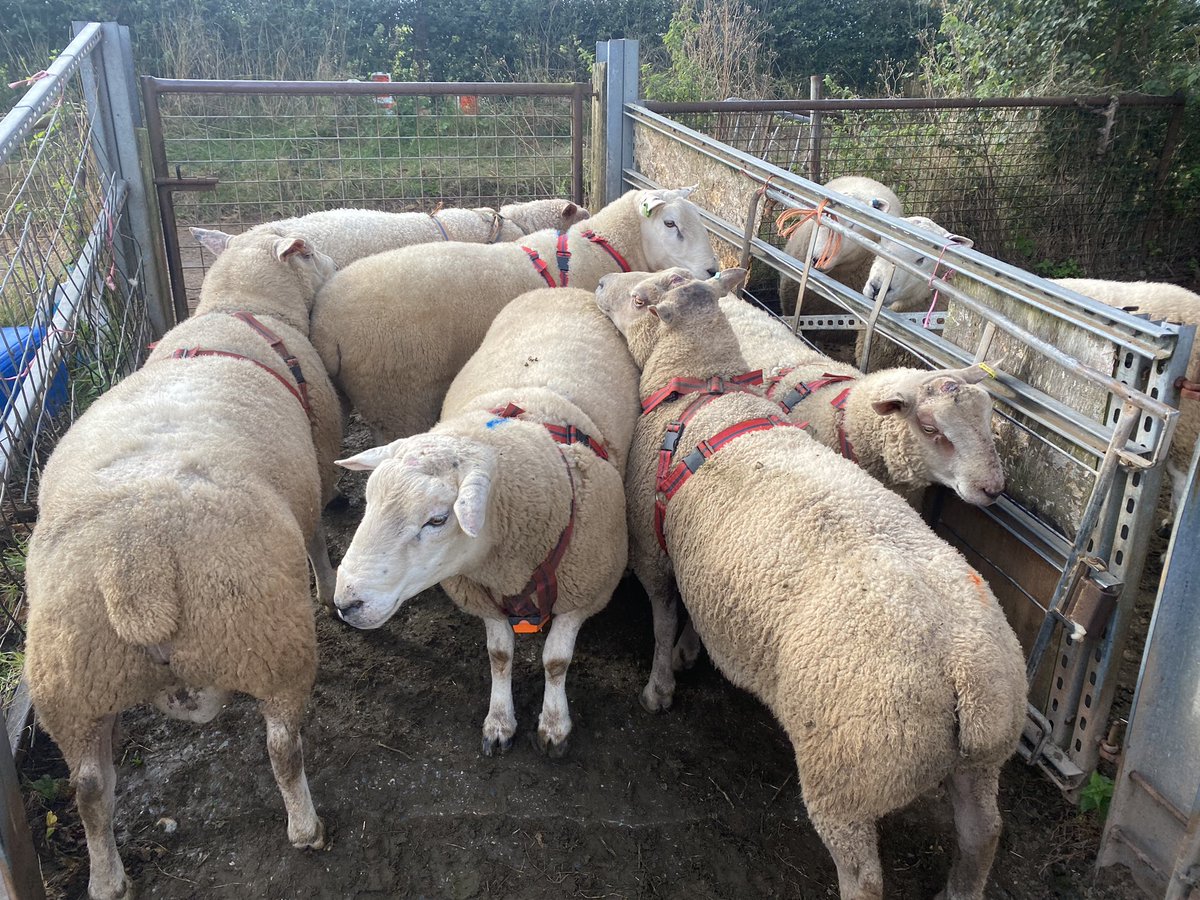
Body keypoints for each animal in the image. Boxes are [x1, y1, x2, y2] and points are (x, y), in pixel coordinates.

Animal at [23, 226, 343, 900]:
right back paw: (305, 826)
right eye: (305, 249)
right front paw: (329, 587)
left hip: (70, 686)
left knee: (88, 790)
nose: (330, 264)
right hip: (269, 638)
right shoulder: (318, 466)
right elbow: (319, 541)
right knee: (283, 747)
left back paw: (107, 878)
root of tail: (135, 567)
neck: (239, 307)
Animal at [332, 287, 638, 757]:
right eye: (368, 501)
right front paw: (499, 721)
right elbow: (500, 656)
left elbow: (556, 660)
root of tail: (561, 288)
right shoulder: (480, 593)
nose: (346, 604)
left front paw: (554, 725)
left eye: (438, 519)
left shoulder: (587, 590)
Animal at [595, 270, 1027, 900]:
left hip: (848, 771)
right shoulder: (701, 561)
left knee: (863, 876)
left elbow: (662, 619)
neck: (704, 389)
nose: (602, 280)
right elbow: (693, 617)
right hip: (982, 760)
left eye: (640, 298)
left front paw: (660, 685)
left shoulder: (654, 550)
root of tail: (965, 676)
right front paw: (692, 652)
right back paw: (959, 889)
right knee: (983, 835)